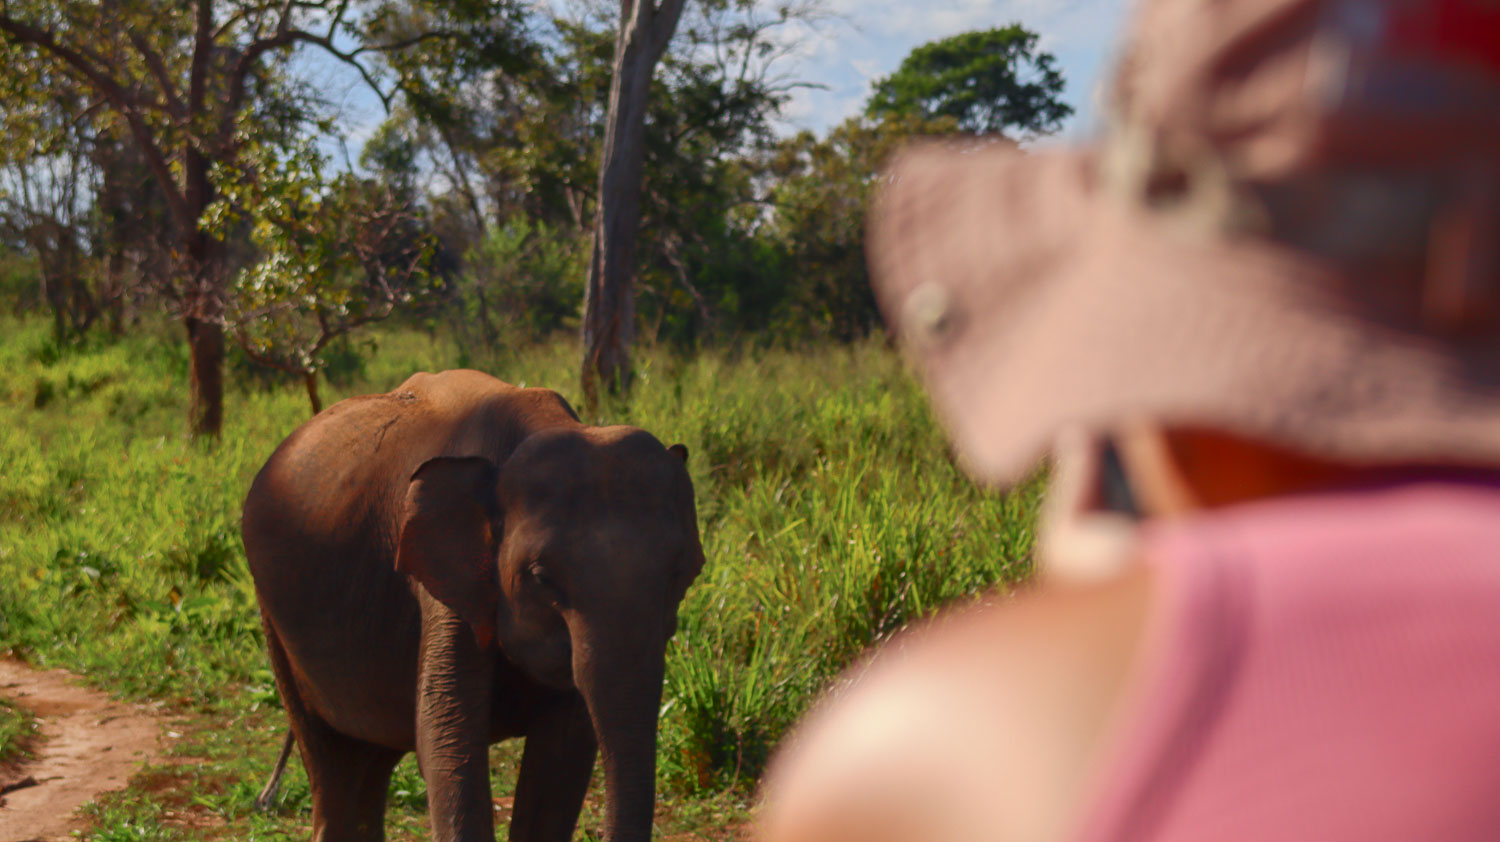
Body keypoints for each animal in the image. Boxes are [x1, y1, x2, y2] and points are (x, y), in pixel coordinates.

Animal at [241, 369, 704, 842]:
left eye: (685, 572)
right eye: (541, 577)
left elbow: (565, 748)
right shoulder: (445, 585)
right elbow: (447, 733)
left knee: (374, 758)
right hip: (275, 619)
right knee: (331, 759)